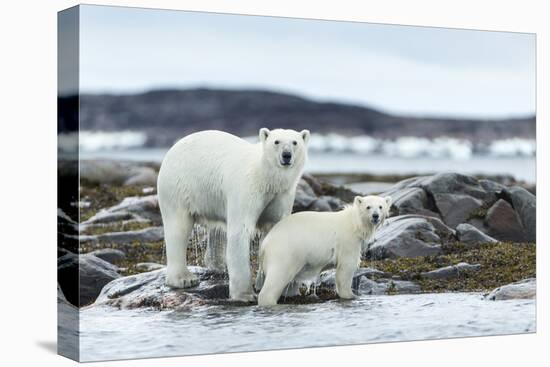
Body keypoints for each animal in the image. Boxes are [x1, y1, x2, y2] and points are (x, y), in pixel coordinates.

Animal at [157, 129, 310, 302]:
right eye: (276, 141)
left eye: (295, 142)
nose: (286, 155)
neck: (266, 178)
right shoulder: (247, 190)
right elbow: (240, 232)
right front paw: (246, 295)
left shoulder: (281, 196)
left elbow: (275, 231)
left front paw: (279, 287)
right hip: (179, 186)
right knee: (178, 229)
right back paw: (183, 279)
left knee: (216, 230)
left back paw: (217, 265)